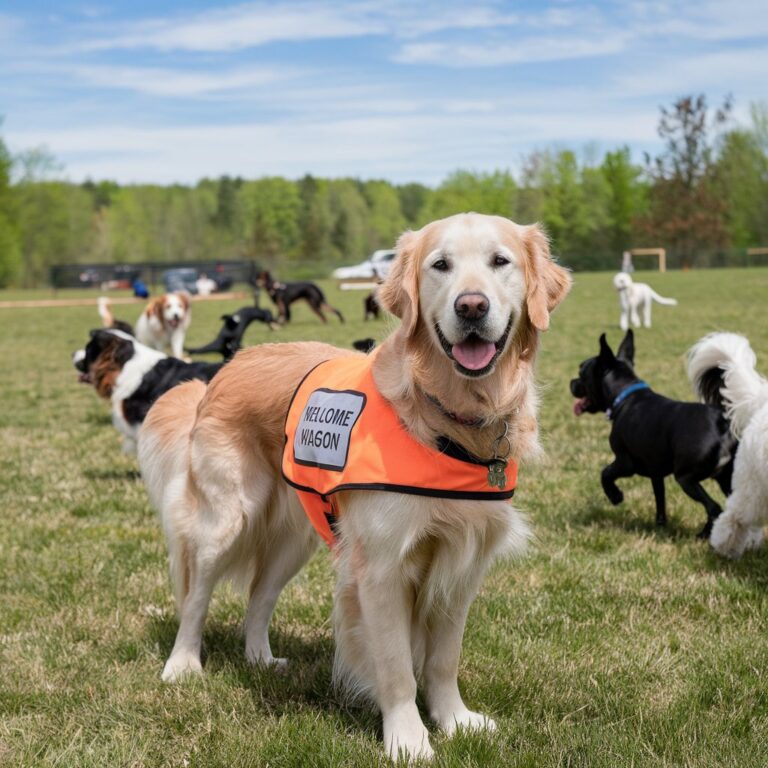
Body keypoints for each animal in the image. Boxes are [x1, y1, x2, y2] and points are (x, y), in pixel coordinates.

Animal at [568, 332, 736, 540]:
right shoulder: (656, 473)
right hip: (726, 479)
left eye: (582, 373)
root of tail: (722, 423)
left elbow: (605, 473)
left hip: (686, 478)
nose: (571, 382)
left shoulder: (625, 463)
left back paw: (704, 535)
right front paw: (660, 526)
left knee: (714, 508)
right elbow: (660, 499)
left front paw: (615, 496)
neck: (625, 396)